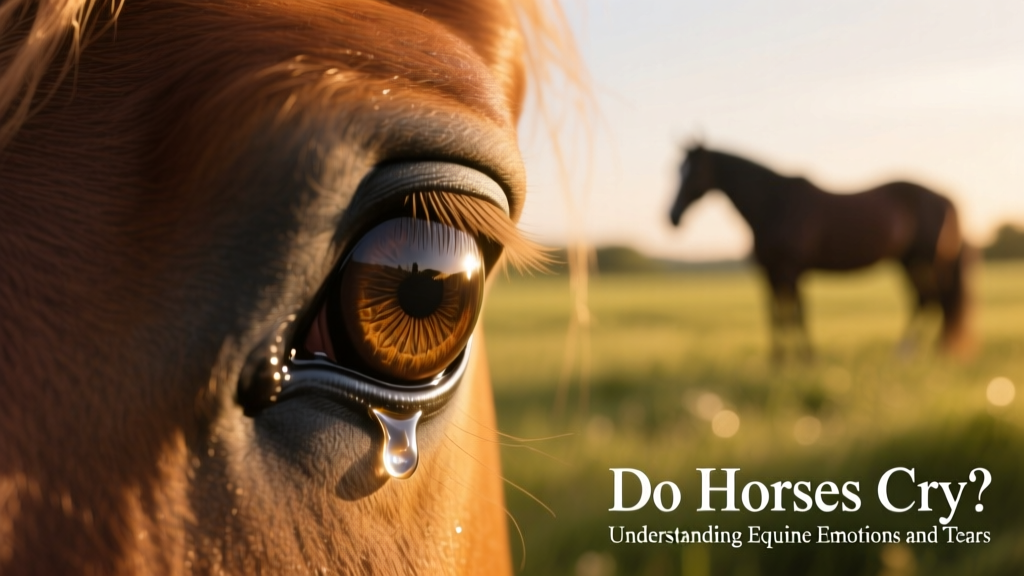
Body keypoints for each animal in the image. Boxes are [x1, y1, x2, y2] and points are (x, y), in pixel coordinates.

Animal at [669, 145, 971, 361]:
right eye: (675, 171)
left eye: (693, 173)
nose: (672, 216)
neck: (772, 204)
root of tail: (946, 198)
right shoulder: (769, 272)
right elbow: (776, 314)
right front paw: (777, 361)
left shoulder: (791, 269)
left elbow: (796, 314)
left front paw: (806, 358)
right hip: (907, 261)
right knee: (925, 300)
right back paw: (914, 351)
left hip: (928, 261)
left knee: (937, 300)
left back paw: (919, 352)